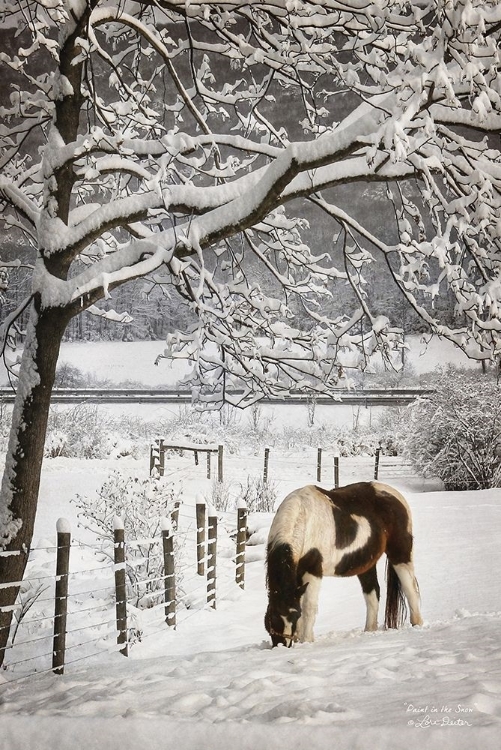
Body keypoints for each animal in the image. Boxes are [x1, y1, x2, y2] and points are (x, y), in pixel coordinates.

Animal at [264, 484, 424, 648]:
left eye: (294, 616)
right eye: (272, 616)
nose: (282, 645)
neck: (302, 519)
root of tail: (396, 495)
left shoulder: (313, 570)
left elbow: (309, 606)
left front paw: (307, 640)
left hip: (400, 553)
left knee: (410, 588)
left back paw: (417, 624)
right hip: (366, 565)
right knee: (373, 593)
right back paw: (369, 631)